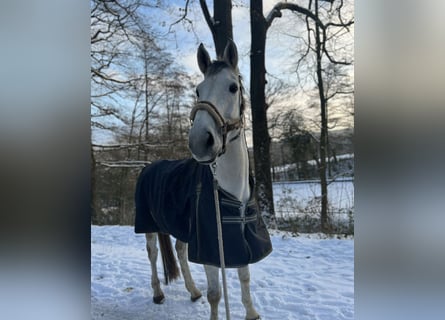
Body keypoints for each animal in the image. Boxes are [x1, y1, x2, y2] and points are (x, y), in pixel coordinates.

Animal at [135, 40, 268, 320]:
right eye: (198, 90)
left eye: (233, 87)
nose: (199, 141)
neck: (232, 191)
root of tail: (149, 166)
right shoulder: (209, 247)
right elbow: (216, 294)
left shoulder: (237, 239)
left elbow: (244, 277)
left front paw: (251, 313)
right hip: (148, 225)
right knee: (152, 254)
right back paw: (158, 294)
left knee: (180, 251)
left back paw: (193, 291)